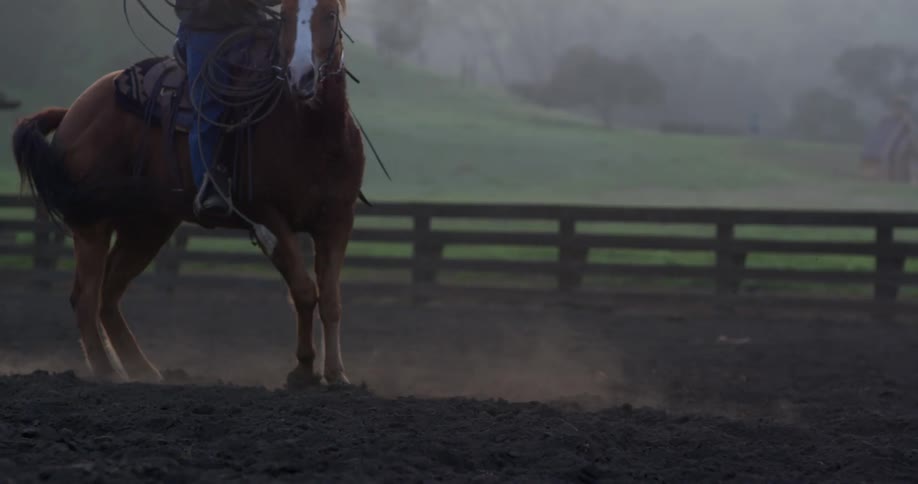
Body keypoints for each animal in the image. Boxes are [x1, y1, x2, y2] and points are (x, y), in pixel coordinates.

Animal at [11, 0, 364, 388]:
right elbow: (303, 290)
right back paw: (107, 372)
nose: (301, 76)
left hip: (147, 226)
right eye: (285, 16)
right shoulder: (268, 214)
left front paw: (337, 374)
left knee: (109, 294)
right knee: (86, 298)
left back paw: (143, 369)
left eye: (329, 15)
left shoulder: (338, 220)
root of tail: (74, 110)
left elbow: (331, 299)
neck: (310, 130)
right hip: (93, 224)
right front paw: (303, 370)